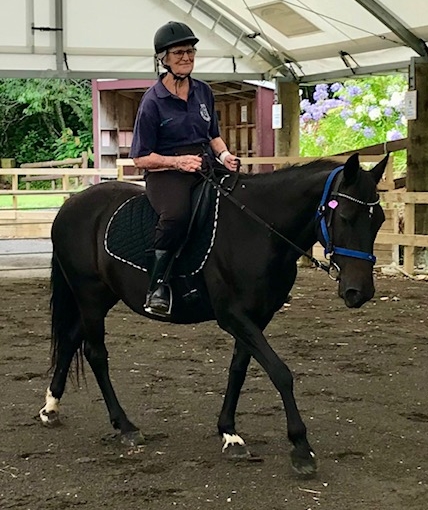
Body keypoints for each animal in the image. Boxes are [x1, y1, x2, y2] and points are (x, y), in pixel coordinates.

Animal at [40, 154, 388, 474]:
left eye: (379, 220)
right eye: (345, 217)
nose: (360, 292)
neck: (258, 229)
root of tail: (71, 206)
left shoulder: (256, 317)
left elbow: (239, 369)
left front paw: (229, 433)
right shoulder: (233, 316)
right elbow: (280, 372)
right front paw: (301, 447)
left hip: (100, 298)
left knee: (71, 340)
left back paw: (51, 407)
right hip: (90, 295)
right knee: (96, 354)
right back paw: (125, 426)